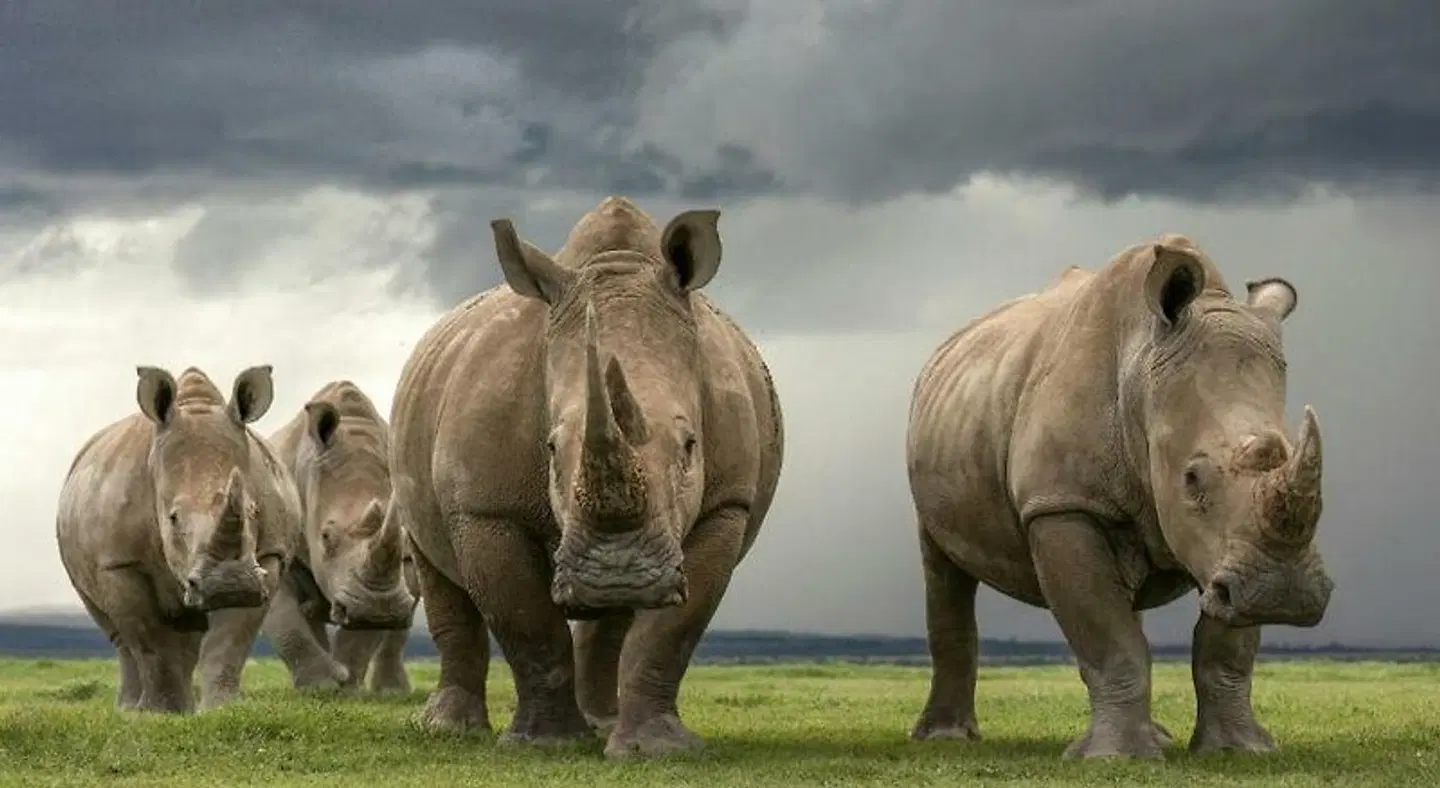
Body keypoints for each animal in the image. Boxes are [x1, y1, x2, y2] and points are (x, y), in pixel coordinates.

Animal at [55, 365, 299, 713]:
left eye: (253, 510)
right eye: (173, 518)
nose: (229, 583)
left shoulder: (268, 556)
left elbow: (231, 641)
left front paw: (221, 710)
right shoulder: (119, 562)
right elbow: (148, 639)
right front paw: (159, 713)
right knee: (120, 635)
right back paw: (130, 709)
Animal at [255, 380, 418, 693]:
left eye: (405, 541)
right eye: (326, 536)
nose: (378, 611)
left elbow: (364, 635)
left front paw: (347, 685)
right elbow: (287, 622)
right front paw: (321, 687)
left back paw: (391, 691)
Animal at [387, 196, 784, 759]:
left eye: (691, 447)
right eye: (551, 449)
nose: (615, 574)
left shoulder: (726, 504)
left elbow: (670, 633)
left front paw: (657, 750)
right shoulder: (485, 508)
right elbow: (529, 623)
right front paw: (543, 745)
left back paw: (602, 725)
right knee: (435, 569)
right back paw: (447, 729)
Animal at [905, 235, 1333, 759]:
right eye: (1192, 479)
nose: (1283, 595)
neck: (1141, 373)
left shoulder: (1230, 553)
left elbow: (1225, 646)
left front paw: (1238, 751)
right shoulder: (1062, 503)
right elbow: (1110, 638)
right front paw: (1118, 758)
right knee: (942, 566)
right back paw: (943, 738)